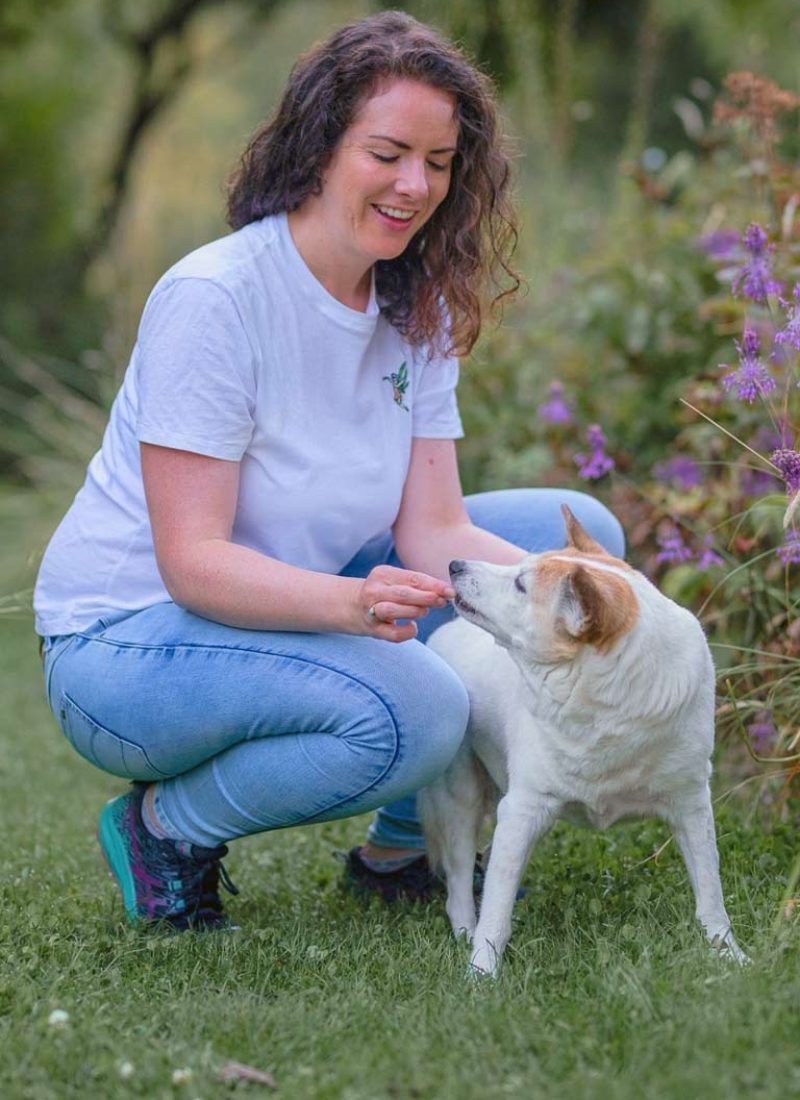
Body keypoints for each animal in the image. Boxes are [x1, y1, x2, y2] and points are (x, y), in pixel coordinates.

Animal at [420, 503, 743, 976]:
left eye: (521, 584)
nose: (455, 564)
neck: (608, 704)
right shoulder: (522, 809)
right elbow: (496, 912)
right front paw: (482, 972)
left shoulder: (691, 803)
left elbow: (710, 890)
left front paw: (729, 953)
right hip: (460, 796)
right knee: (460, 878)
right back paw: (464, 931)